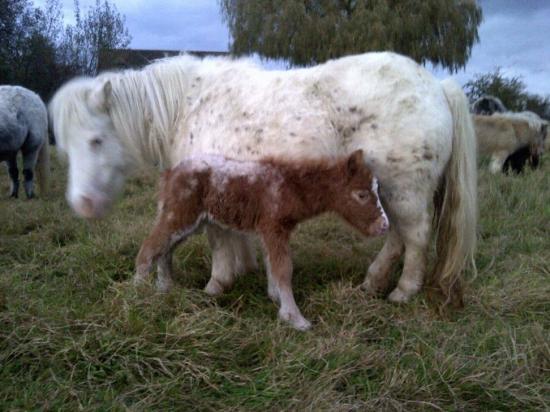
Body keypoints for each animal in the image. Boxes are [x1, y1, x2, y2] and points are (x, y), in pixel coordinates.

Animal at [50, 51, 478, 308]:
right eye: (65, 145)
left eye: (96, 139)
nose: (83, 205)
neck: (187, 106)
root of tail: (437, 86)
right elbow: (233, 237)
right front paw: (243, 270)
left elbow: (218, 242)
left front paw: (217, 285)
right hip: (387, 190)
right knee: (397, 236)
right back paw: (372, 283)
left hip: (405, 188)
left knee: (416, 237)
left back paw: (403, 292)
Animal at [135, 150, 390, 330]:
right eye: (361, 195)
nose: (384, 226)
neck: (290, 184)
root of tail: (170, 172)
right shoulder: (273, 226)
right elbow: (283, 268)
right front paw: (295, 318)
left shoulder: (271, 231)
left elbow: (272, 264)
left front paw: (276, 298)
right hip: (180, 214)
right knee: (150, 248)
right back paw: (138, 296)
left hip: (192, 222)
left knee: (165, 250)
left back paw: (165, 288)